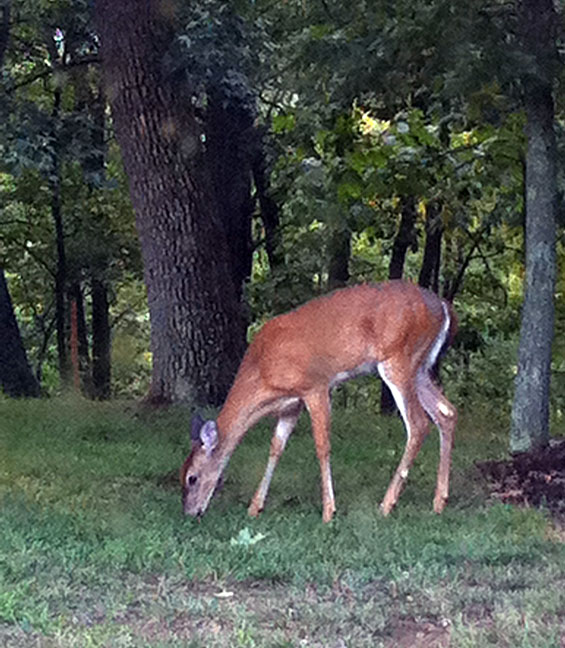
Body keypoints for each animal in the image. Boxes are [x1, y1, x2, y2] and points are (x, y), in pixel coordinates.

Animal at [181, 280, 457, 523]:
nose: (191, 513)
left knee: (418, 424)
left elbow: (322, 446)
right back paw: (439, 502)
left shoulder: (315, 386)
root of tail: (444, 306)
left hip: (398, 359)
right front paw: (255, 507)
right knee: (447, 412)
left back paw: (386, 504)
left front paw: (328, 512)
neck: (263, 373)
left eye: (192, 478)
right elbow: (276, 447)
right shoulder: (290, 405)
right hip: (420, 368)